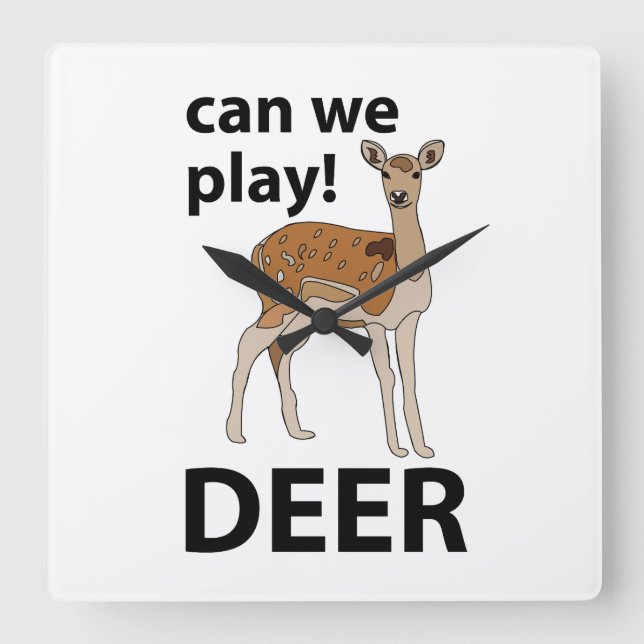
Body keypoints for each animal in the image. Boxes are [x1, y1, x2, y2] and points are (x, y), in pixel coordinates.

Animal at [224, 139, 445, 458]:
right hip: (278, 301)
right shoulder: (374, 319)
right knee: (249, 341)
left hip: (298, 314)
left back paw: (298, 432)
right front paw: (397, 449)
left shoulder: (411, 318)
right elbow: (387, 375)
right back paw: (236, 434)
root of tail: (259, 246)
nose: (399, 195)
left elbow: (410, 377)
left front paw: (423, 449)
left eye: (416, 173)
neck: (405, 275)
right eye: (385, 173)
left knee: (279, 349)